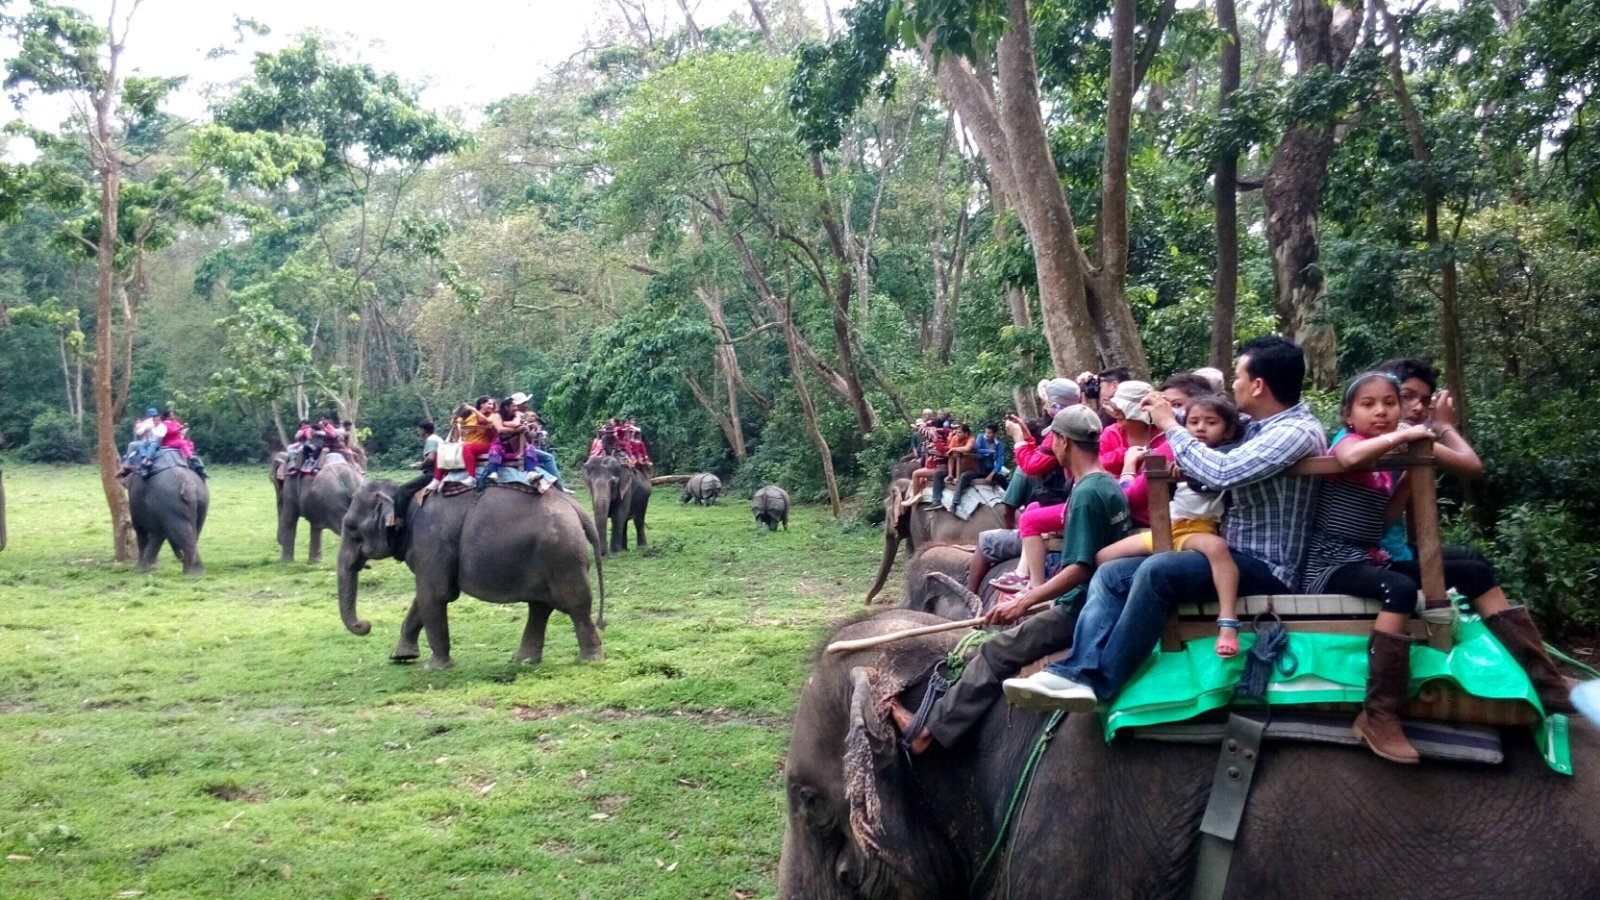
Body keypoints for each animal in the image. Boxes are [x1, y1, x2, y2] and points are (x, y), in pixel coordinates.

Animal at [336, 480, 604, 669]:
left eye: (350, 526)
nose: (365, 624)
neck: (405, 496)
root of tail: (577, 508)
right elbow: (423, 598)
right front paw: (400, 657)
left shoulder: (431, 540)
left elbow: (434, 596)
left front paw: (433, 667)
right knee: (540, 606)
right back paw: (523, 661)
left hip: (562, 555)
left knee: (576, 604)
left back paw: (589, 660)